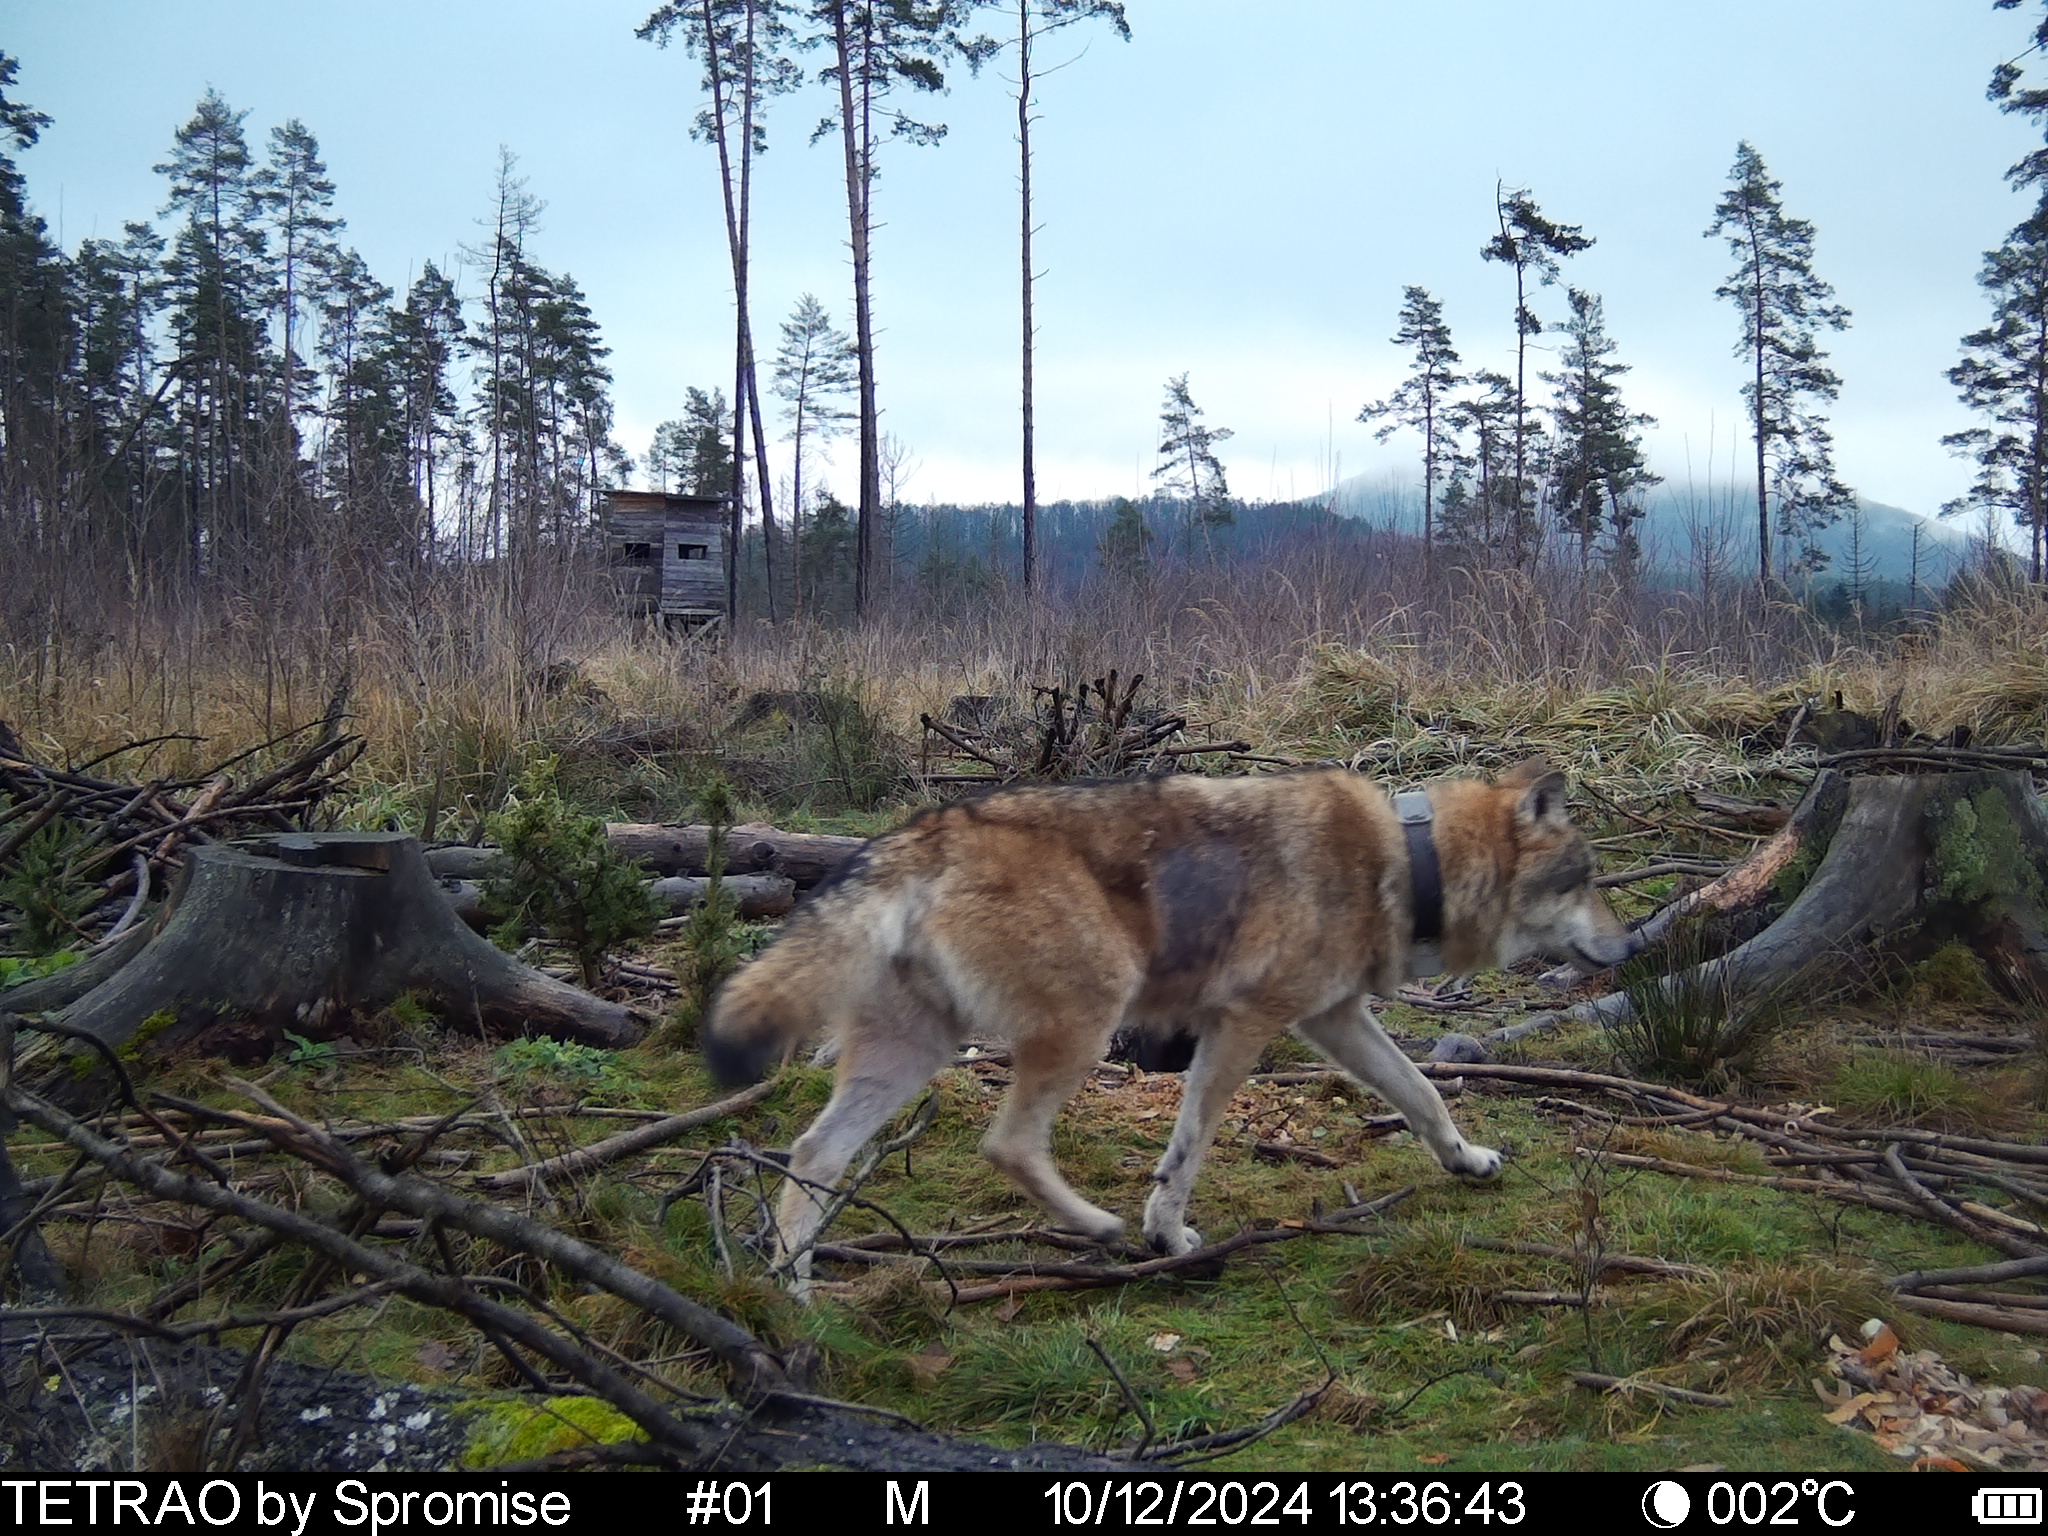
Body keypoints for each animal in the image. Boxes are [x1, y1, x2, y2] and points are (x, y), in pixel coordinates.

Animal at [704, 765, 1630, 1294]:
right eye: (1587, 878)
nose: (1628, 946)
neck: (1411, 858)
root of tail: (922, 832)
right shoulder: (1243, 1026)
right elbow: (1189, 1148)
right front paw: (1167, 1233)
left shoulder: (1334, 1021)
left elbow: (1424, 1096)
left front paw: (1468, 1162)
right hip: (1084, 1020)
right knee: (1005, 1145)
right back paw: (1099, 1229)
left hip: (913, 1054)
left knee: (813, 1153)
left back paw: (794, 1298)